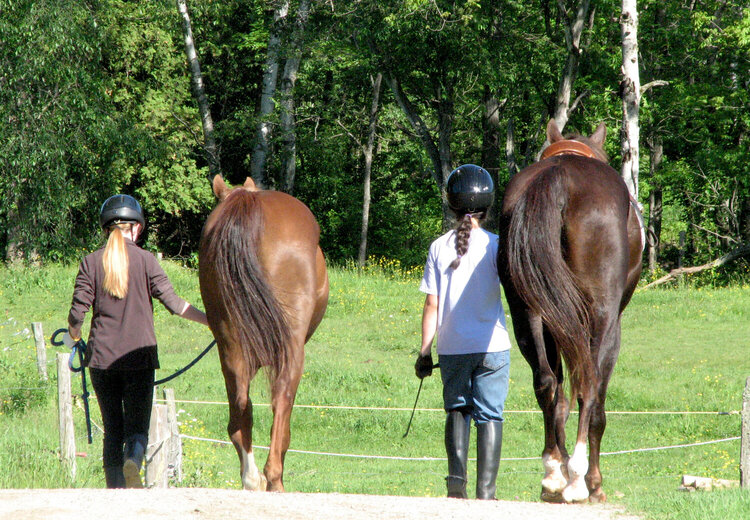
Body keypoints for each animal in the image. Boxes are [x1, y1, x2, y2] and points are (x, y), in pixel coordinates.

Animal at [200, 176, 328, 492]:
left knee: (240, 411)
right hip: (291, 348)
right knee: (280, 398)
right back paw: (273, 479)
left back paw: (251, 478)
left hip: (230, 346)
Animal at [502, 120, 644, 502]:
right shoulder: (610, 326)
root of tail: (560, 177)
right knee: (587, 387)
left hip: (527, 310)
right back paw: (580, 478)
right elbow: (595, 404)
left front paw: (559, 469)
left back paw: (554, 473)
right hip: (599, 315)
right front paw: (592, 482)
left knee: (547, 383)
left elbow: (559, 396)